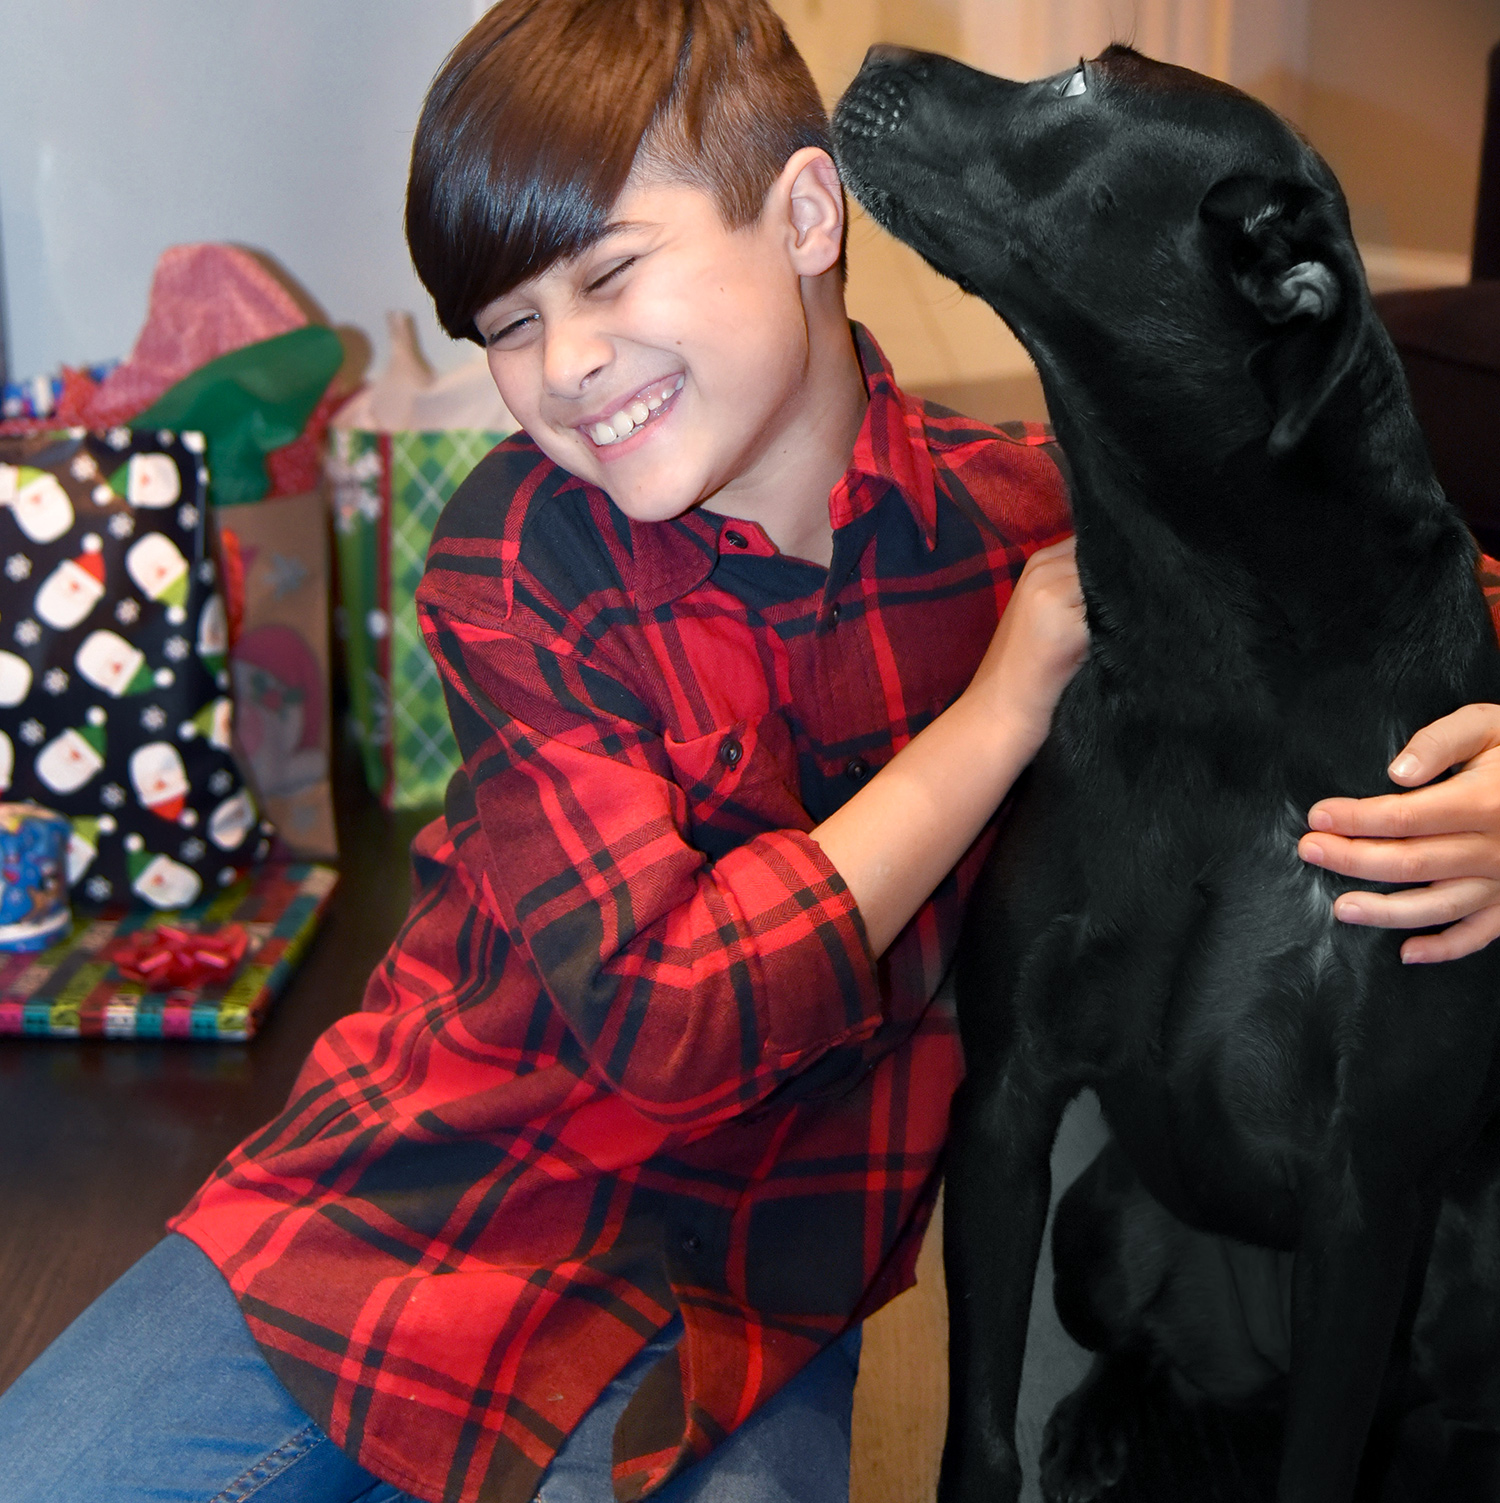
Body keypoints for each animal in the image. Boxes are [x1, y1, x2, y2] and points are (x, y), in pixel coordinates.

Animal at [835, 43, 1500, 1503]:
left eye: (1085, 84)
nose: (874, 55)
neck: (1221, 665)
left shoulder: (1370, 1192)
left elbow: (1326, 1459)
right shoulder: (1007, 1102)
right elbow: (980, 1429)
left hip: (1461, 1281)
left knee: (1425, 1421)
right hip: (1105, 1219)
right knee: (1139, 1350)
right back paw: (1107, 1416)